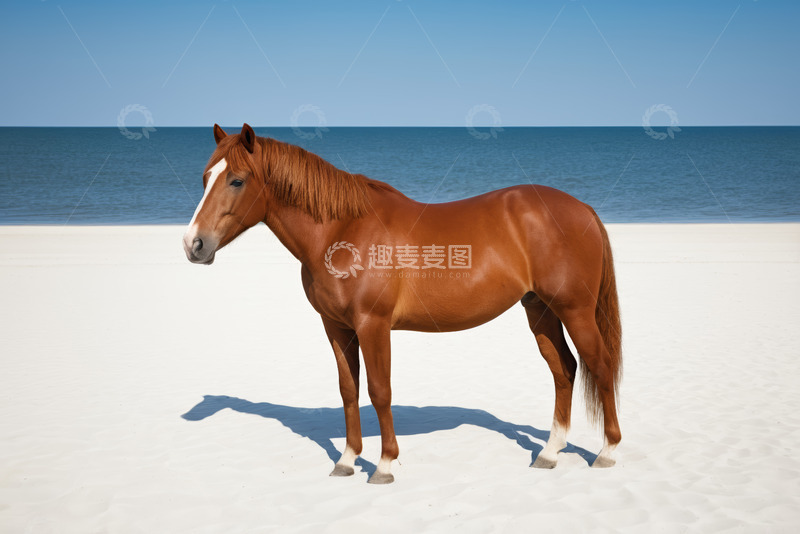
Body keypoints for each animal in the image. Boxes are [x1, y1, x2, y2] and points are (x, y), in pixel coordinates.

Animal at [182, 123, 623, 484]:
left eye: (237, 180)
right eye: (206, 178)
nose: (193, 244)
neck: (341, 231)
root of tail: (582, 208)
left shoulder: (372, 325)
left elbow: (379, 390)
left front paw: (384, 464)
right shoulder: (336, 327)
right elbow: (348, 389)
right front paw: (346, 460)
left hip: (575, 310)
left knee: (599, 365)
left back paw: (607, 451)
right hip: (540, 309)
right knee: (563, 370)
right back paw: (549, 453)